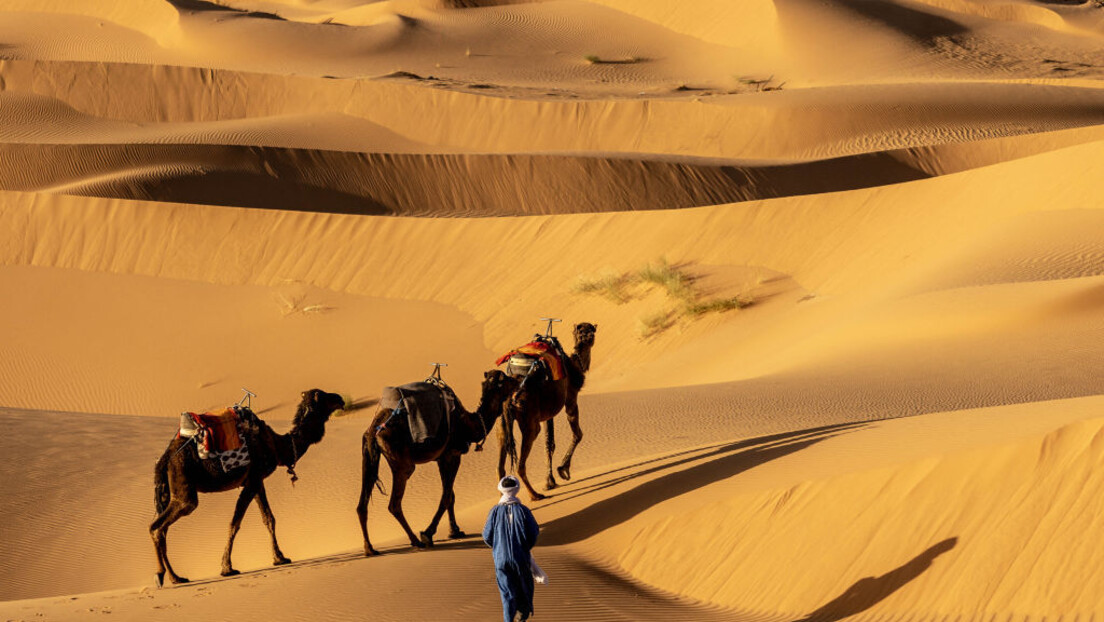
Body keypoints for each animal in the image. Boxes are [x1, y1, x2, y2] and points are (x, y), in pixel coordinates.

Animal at [149, 386, 342, 587]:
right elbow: (235, 523)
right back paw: (168, 576)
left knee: (161, 528)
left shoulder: (256, 481)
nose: (341, 399)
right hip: (184, 489)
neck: (277, 445)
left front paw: (280, 558)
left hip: (168, 490)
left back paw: (171, 576)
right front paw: (227, 568)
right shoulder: (254, 478)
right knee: (158, 526)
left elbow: (269, 518)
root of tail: (165, 459)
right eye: (324, 396)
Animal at [357, 369, 521, 554]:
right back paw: (416, 541)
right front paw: (428, 534)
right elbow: (446, 496)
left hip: (368, 458)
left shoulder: (441, 458)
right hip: (402, 464)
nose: (518, 379)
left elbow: (451, 495)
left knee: (362, 505)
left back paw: (369, 548)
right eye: (506, 380)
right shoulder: (452, 455)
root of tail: (374, 430)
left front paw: (455, 530)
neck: (469, 424)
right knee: (394, 504)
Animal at [503, 320, 600, 501]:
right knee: (521, 463)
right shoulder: (571, 397)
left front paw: (550, 481)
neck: (574, 365)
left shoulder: (547, 413)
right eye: (580, 331)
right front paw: (563, 470)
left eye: (591, 330)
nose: (587, 337)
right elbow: (578, 434)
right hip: (530, 422)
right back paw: (534, 495)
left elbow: (549, 443)